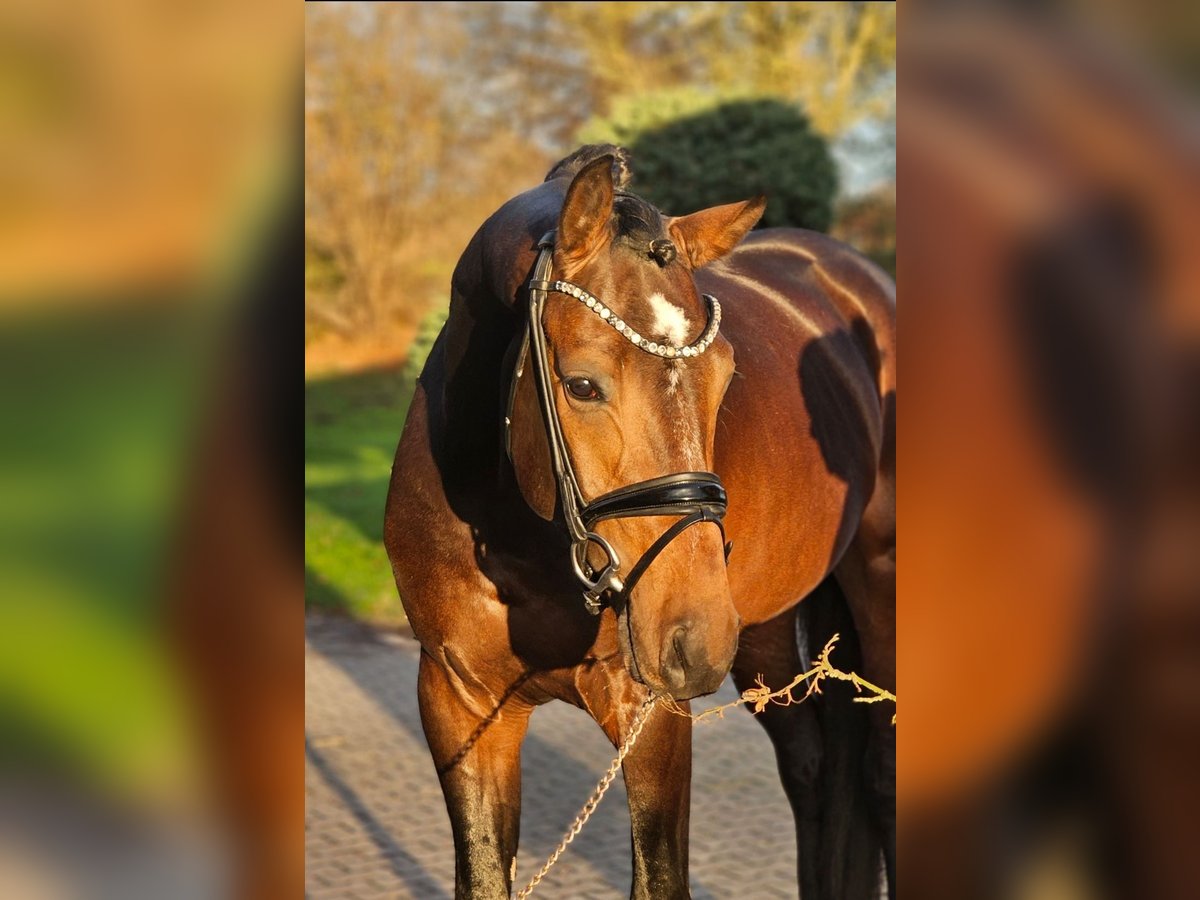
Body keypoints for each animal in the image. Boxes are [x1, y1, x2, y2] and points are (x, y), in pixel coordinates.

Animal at [381, 144, 892, 897]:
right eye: (582, 384)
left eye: (726, 376)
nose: (694, 638)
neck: (519, 544)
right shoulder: (458, 705)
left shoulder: (649, 716)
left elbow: (658, 877)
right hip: (764, 631)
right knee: (813, 766)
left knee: (880, 773)